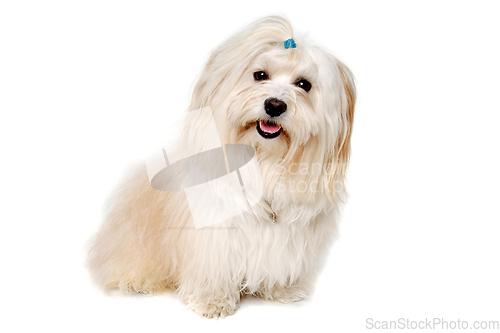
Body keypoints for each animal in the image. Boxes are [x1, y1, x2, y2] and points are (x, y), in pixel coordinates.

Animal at [90, 16, 356, 318]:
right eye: (260, 75)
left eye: (304, 84)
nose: (275, 105)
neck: (263, 159)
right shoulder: (214, 236)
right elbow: (214, 268)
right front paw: (213, 301)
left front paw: (282, 290)